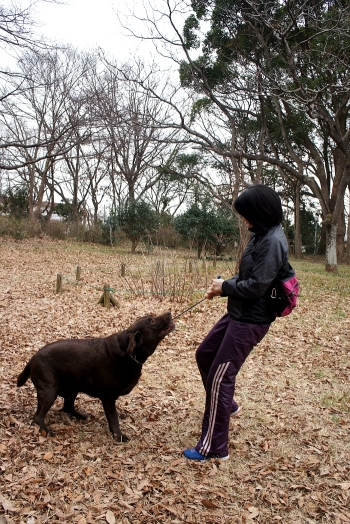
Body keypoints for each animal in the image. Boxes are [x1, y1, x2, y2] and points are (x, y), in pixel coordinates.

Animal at [16, 312, 175, 442]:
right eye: (152, 321)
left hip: (73, 388)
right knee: (38, 416)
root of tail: (34, 357)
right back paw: (46, 431)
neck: (128, 352)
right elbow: (113, 419)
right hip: (50, 391)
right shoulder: (108, 398)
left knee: (67, 407)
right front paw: (119, 436)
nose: (169, 311)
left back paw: (82, 416)